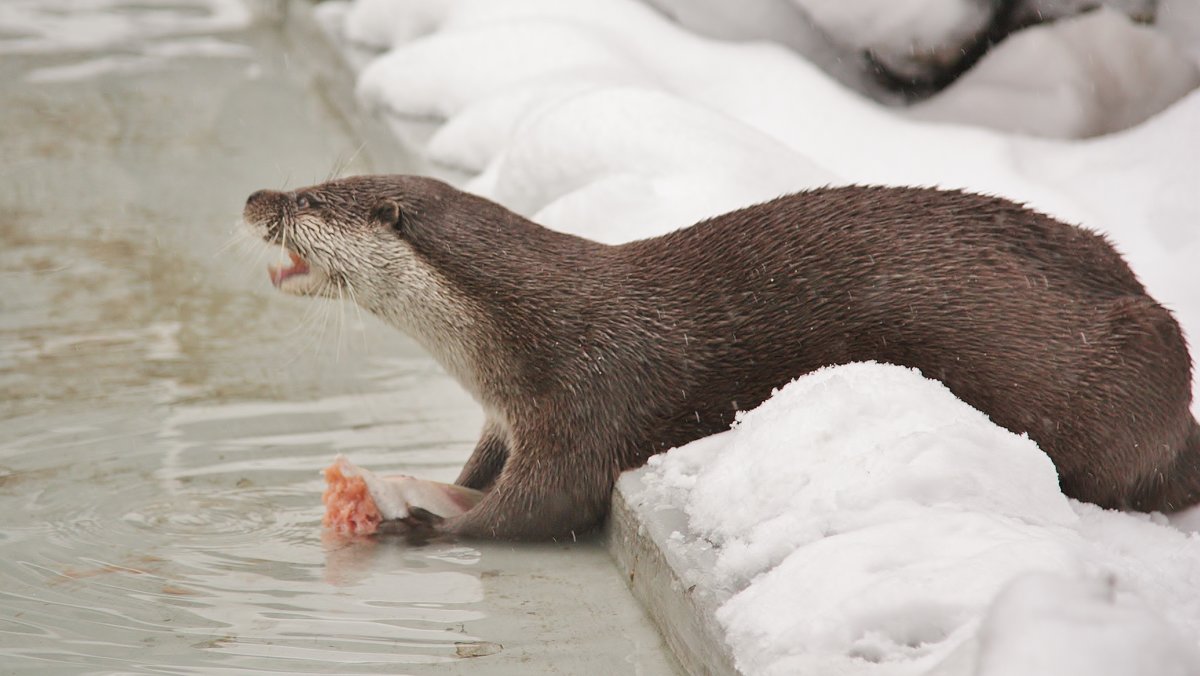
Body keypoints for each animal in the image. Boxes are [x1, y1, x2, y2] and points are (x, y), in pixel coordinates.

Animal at [238, 177, 1195, 542]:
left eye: (312, 199)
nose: (256, 198)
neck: (526, 330)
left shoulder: (589, 402)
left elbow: (538, 507)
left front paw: (417, 520)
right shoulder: (507, 415)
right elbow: (480, 465)